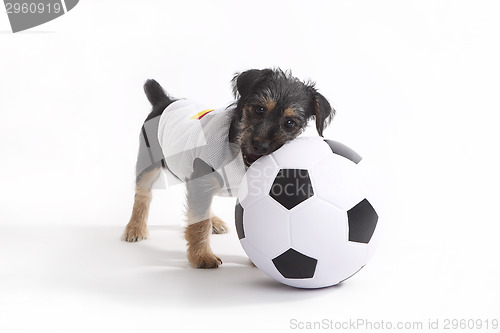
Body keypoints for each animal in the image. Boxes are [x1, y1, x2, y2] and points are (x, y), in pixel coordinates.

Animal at [123, 67, 336, 268]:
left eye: (290, 123)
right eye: (259, 109)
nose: (261, 145)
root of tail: (165, 102)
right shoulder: (201, 181)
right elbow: (199, 222)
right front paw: (201, 256)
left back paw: (214, 222)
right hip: (148, 163)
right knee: (143, 194)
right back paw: (135, 227)